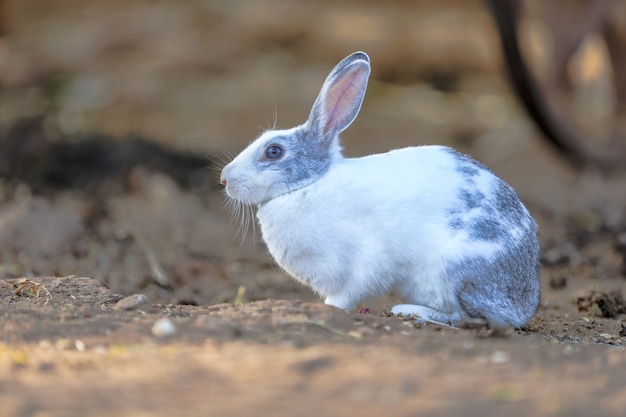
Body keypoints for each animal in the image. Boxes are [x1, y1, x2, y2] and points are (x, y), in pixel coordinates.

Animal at [218, 50, 536, 326]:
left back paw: (408, 310)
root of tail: (525, 304)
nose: (224, 178)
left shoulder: (361, 265)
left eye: (273, 152)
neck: (309, 185)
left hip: (454, 274)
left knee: (468, 317)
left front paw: (328, 309)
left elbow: (346, 295)